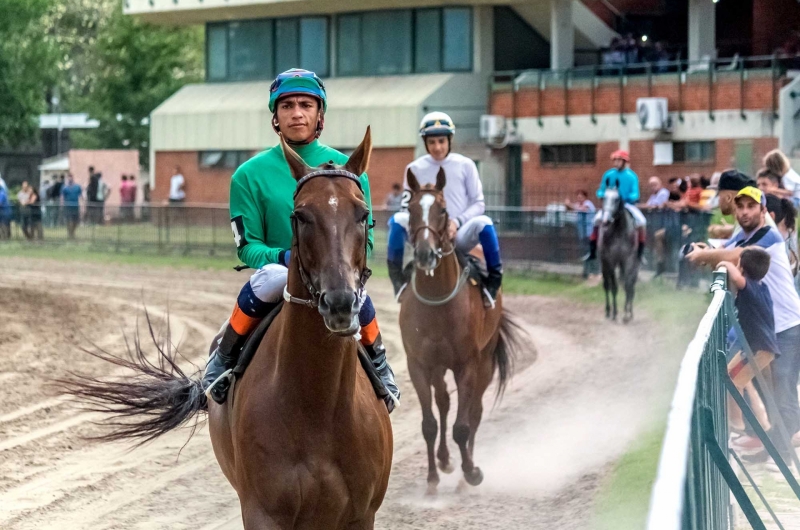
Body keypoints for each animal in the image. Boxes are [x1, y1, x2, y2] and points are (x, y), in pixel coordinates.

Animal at [63, 129, 394, 528]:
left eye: (363, 215)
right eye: (300, 216)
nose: (341, 302)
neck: (319, 404)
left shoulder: (360, 514)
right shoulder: (263, 511)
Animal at [398, 167, 524, 492]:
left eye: (442, 210)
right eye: (411, 209)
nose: (425, 254)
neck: (438, 301)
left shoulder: (467, 364)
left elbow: (463, 425)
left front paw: (471, 472)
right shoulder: (418, 364)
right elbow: (429, 423)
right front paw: (432, 477)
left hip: (485, 360)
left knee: (475, 411)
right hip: (439, 366)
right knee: (443, 402)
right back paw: (443, 461)